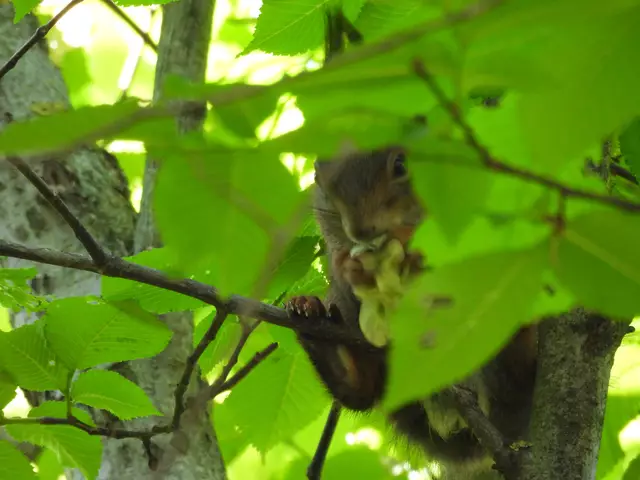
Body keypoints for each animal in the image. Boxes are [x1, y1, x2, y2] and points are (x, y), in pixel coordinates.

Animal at [286, 146, 538, 479]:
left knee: (511, 384)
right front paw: (347, 265)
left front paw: (409, 244)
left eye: (401, 164)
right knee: (362, 390)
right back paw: (311, 318)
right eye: (319, 180)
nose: (361, 230)